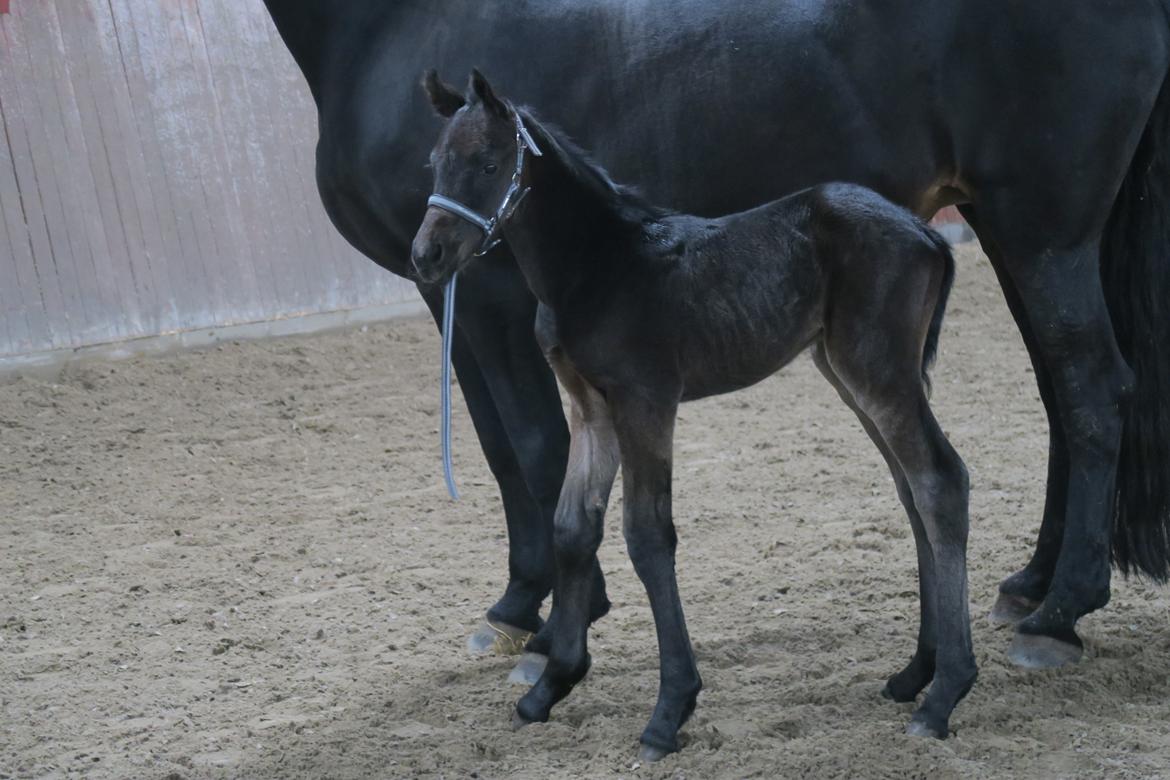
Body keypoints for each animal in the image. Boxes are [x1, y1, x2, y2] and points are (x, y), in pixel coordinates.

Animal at [414, 71, 978, 757]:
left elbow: (648, 535)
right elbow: (573, 528)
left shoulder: (646, 401)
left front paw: (668, 712)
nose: (427, 254)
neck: (597, 265)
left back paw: (944, 694)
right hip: (850, 374)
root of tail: (929, 234)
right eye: (435, 162)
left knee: (940, 481)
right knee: (911, 490)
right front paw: (550, 686)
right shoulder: (590, 409)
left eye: (489, 164)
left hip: (880, 372)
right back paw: (915, 673)